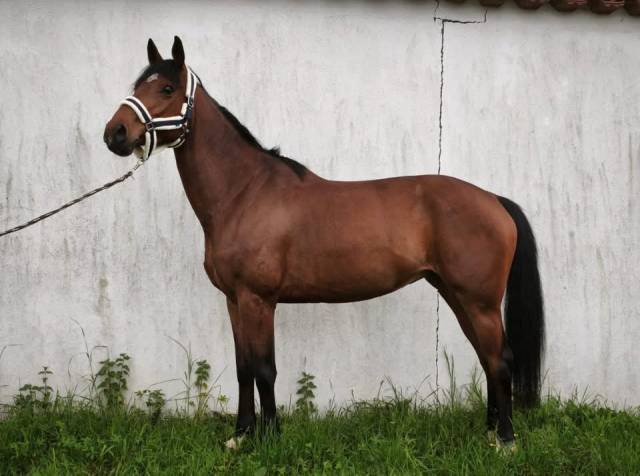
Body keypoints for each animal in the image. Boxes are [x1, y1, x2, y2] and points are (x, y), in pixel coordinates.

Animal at [104, 36, 544, 449]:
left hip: (478, 301)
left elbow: (265, 369)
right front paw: (240, 435)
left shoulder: (258, 300)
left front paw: (270, 437)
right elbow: (244, 368)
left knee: (500, 360)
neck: (244, 192)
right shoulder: (233, 300)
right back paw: (489, 430)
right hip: (457, 295)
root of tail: (493, 199)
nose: (115, 133)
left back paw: (505, 440)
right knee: (487, 358)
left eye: (166, 89)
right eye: (138, 84)